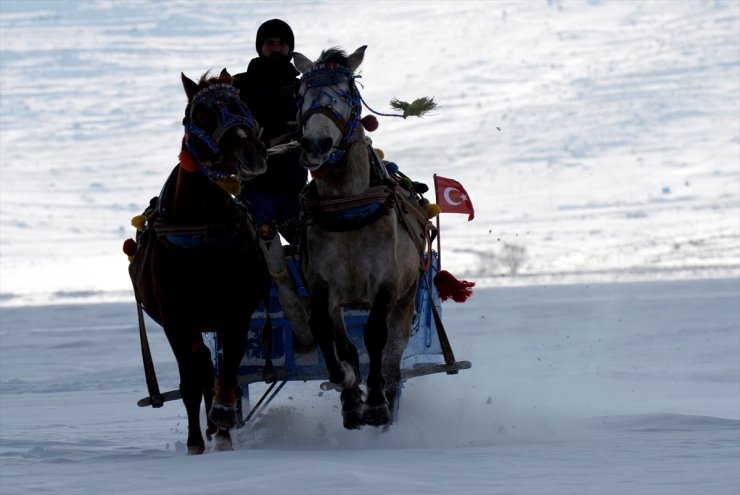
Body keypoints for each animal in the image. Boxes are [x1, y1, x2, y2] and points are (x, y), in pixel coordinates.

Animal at [129, 69, 270, 454]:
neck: (202, 231)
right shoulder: (176, 319)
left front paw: (222, 424)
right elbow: (191, 382)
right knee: (201, 367)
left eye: (242, 103)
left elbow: (230, 372)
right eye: (201, 115)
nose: (252, 152)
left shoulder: (235, 313)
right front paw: (196, 442)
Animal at [294, 45, 434, 426]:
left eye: (347, 92)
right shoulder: (323, 285)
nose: (316, 143)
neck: (347, 205)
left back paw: (387, 393)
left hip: (407, 295)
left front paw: (375, 404)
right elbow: (328, 334)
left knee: (392, 350)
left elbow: (374, 336)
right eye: (300, 93)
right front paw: (348, 388)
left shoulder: (386, 282)